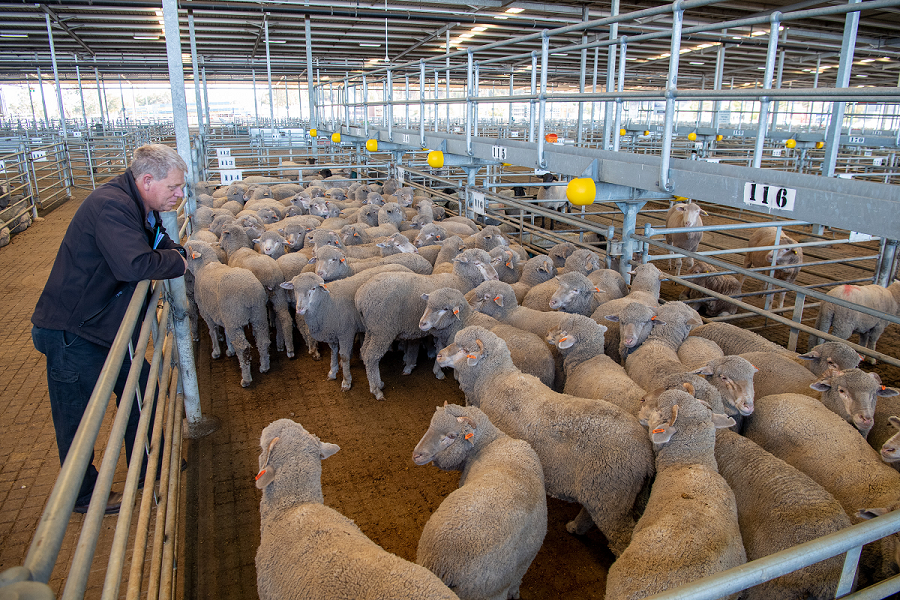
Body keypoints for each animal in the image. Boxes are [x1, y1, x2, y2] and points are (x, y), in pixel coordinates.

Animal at [184, 241, 270, 387]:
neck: (204, 266)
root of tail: (250, 294)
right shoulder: (223, 316)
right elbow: (225, 332)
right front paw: (229, 351)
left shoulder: (206, 312)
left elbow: (212, 331)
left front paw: (216, 352)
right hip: (258, 315)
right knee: (263, 341)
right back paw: (264, 367)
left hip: (234, 319)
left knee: (243, 348)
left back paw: (246, 379)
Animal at [281, 265, 412, 391]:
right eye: (294, 289)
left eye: (313, 289)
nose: (300, 309)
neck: (327, 302)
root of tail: (405, 268)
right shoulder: (331, 332)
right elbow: (333, 351)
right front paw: (332, 372)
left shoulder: (346, 333)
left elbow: (344, 356)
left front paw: (346, 382)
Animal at [355, 249, 499, 400]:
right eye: (477, 263)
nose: (496, 276)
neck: (461, 280)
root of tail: (360, 297)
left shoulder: (443, 330)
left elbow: (440, 348)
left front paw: (437, 370)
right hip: (382, 330)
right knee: (371, 356)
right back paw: (376, 389)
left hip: (371, 329)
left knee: (364, 351)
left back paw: (378, 382)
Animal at [439, 325, 654, 557]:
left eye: (464, 349)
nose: (439, 355)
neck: (494, 380)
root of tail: (646, 454)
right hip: (603, 494)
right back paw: (575, 528)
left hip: (612, 495)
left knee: (620, 536)